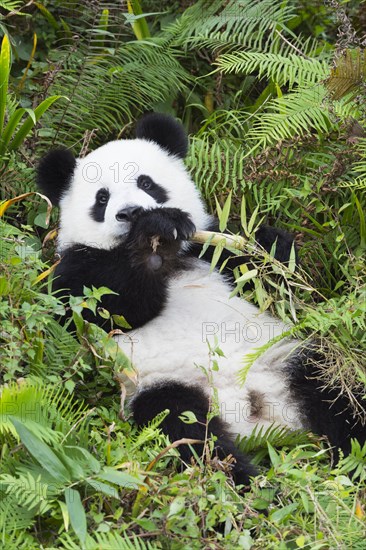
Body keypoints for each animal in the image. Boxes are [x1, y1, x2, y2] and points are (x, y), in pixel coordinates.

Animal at [36, 113, 364, 488]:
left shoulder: (210, 249)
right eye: (101, 198)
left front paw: (269, 247)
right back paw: (246, 485)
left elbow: (268, 281)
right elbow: (107, 310)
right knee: (187, 431)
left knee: (339, 391)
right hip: (160, 387)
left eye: (147, 183)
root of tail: (256, 413)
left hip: (287, 358)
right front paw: (152, 233)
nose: (131, 213)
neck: (172, 258)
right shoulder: (77, 267)